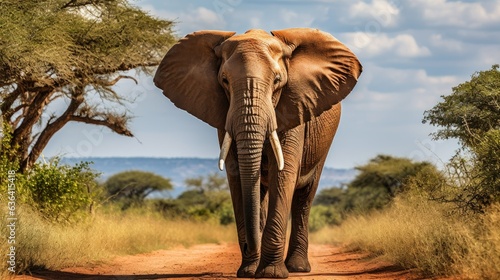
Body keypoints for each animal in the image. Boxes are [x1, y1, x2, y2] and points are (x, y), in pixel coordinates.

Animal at [154, 28, 362, 278]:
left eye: (277, 80)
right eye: (224, 81)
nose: (248, 247)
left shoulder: (294, 106)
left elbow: (284, 173)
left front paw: (271, 273)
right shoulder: (224, 116)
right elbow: (236, 176)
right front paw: (248, 271)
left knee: (304, 197)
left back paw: (297, 268)